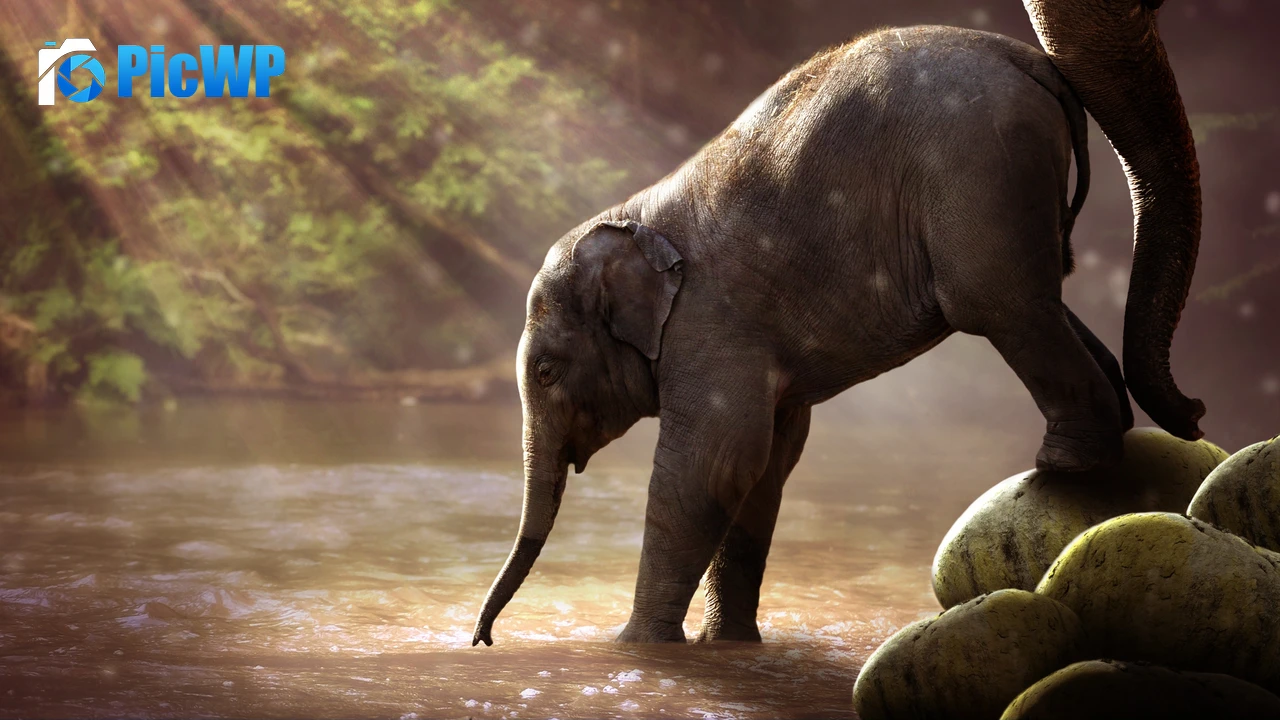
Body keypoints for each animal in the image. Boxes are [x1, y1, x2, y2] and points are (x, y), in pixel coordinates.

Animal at [474, 0, 1205, 646]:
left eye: (546, 370)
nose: (483, 638)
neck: (633, 216)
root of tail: (1028, 60)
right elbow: (768, 462)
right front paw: (728, 646)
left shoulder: (712, 326)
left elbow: (715, 461)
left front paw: (636, 648)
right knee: (1044, 299)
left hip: (979, 172)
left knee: (1000, 303)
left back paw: (1066, 462)